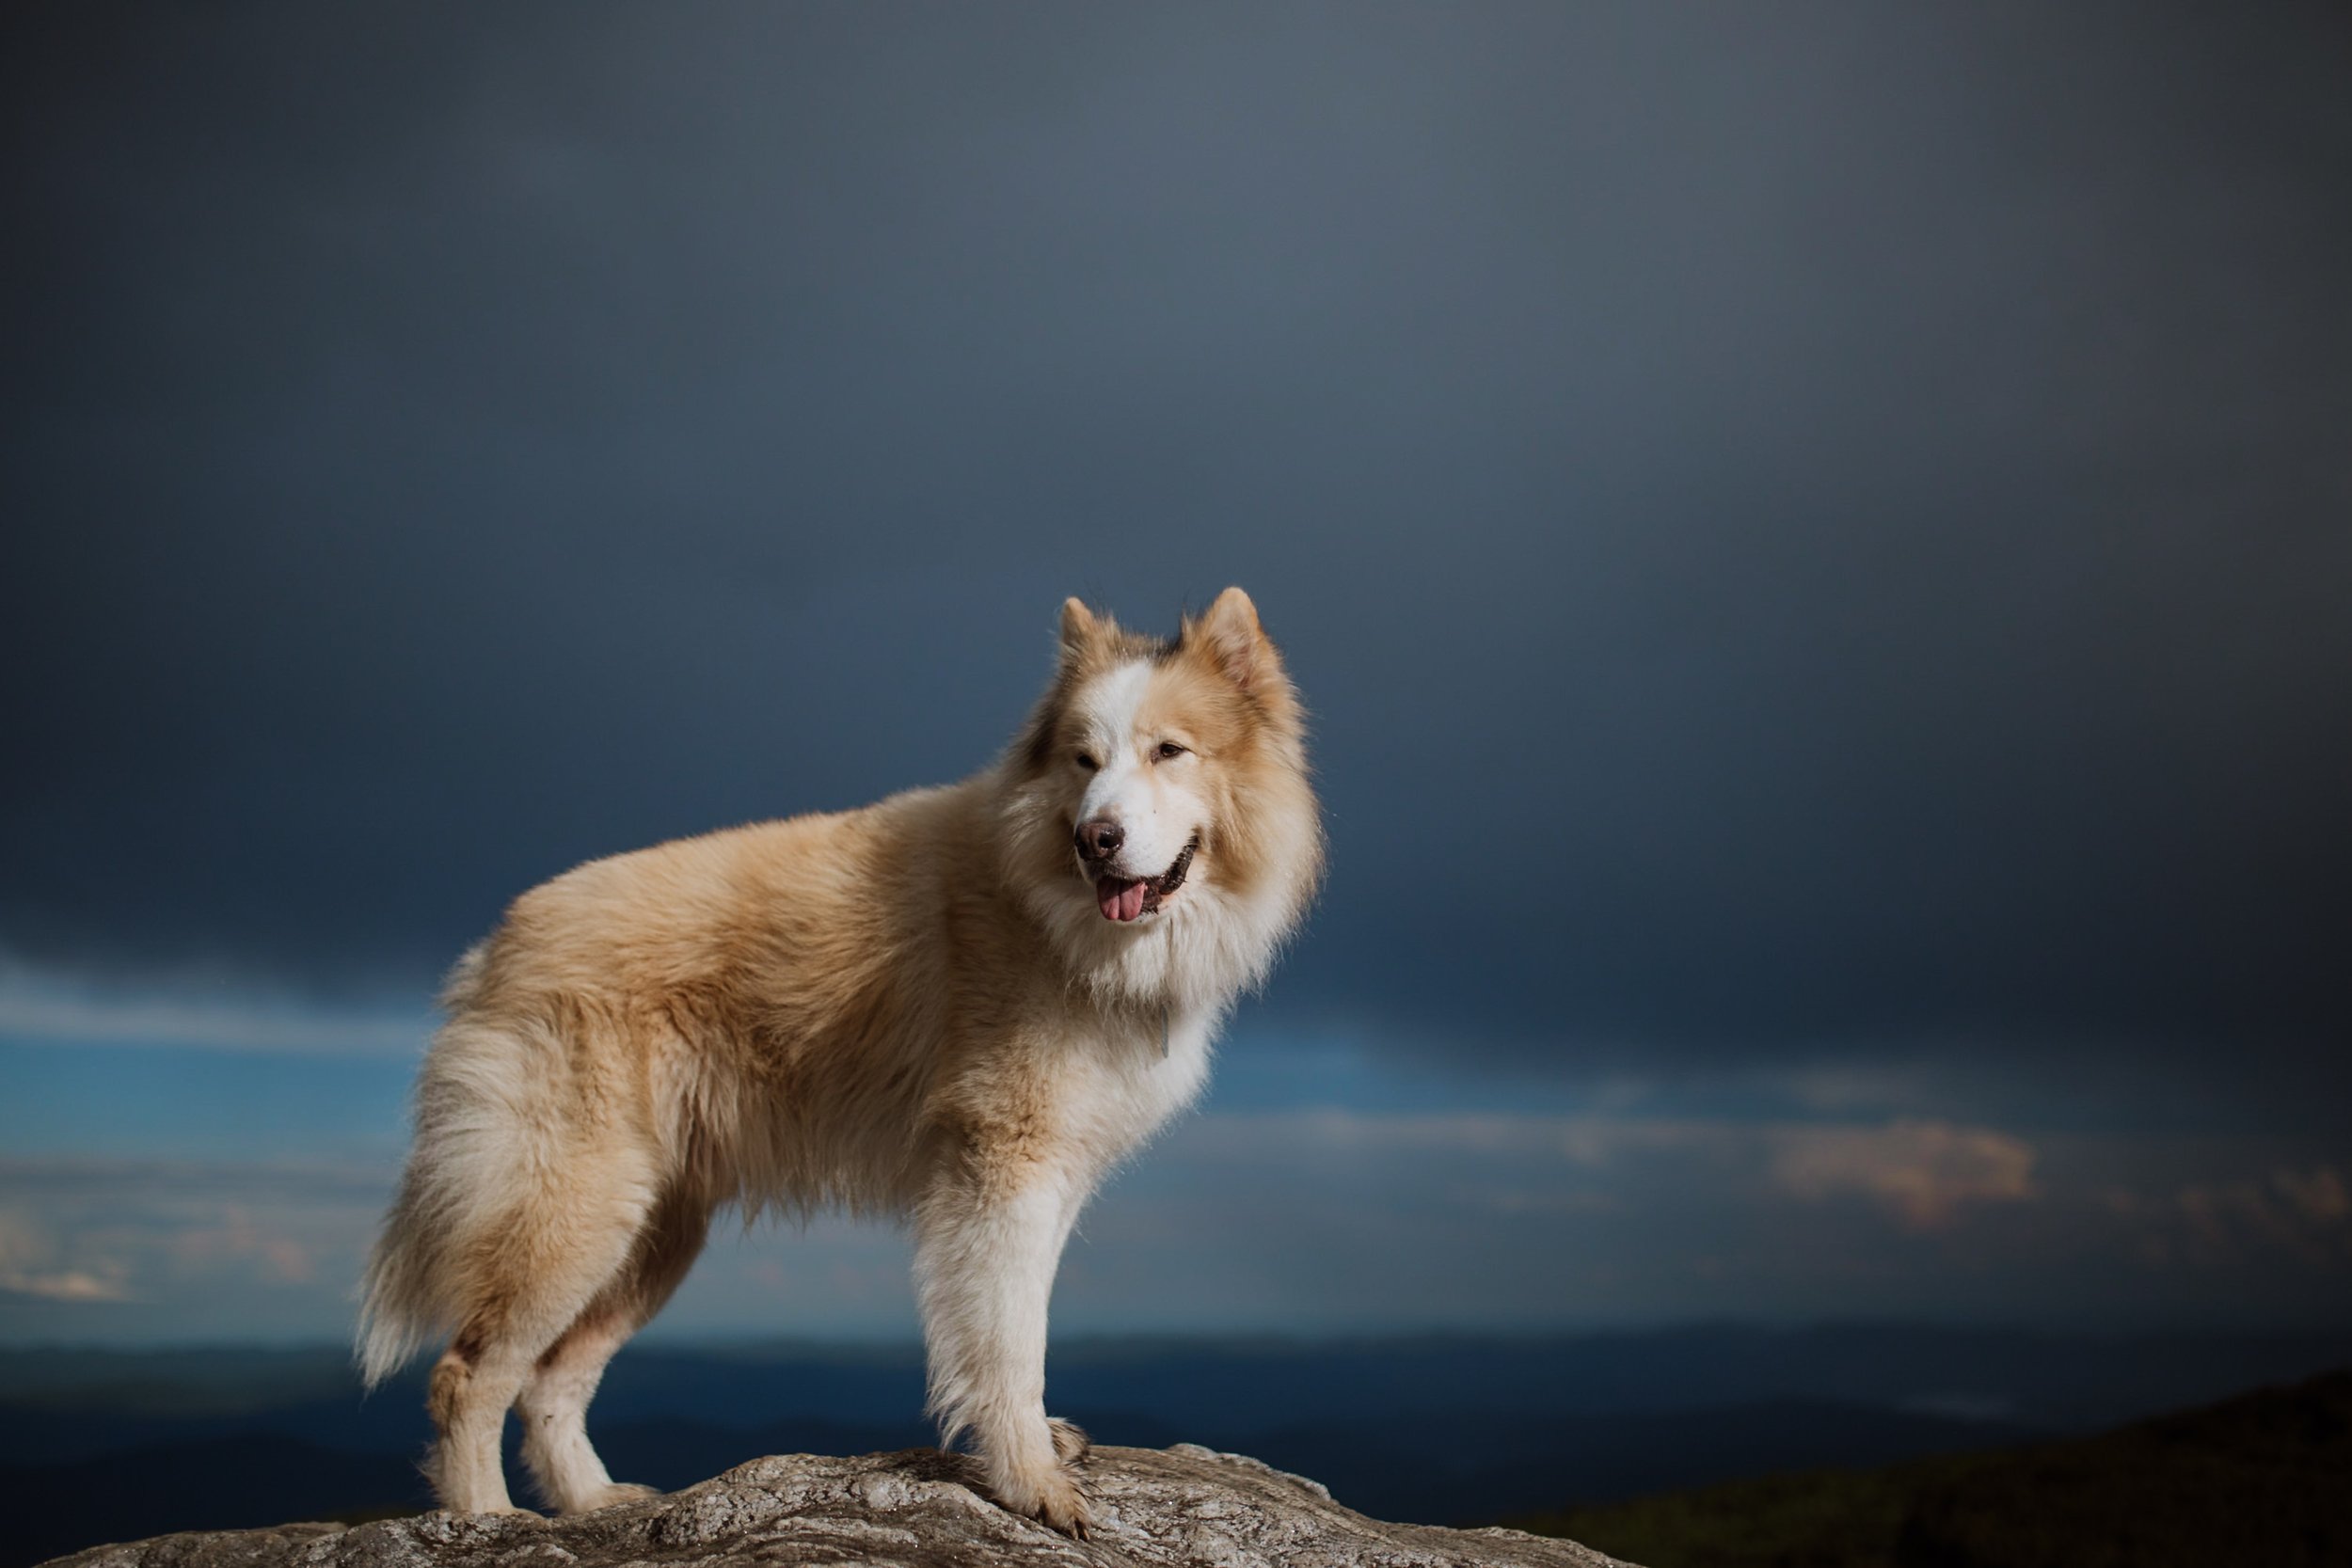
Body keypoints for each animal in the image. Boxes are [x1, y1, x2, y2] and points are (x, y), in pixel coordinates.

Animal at [359, 587, 1336, 1532]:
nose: (1095, 838)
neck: (1050, 914)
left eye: (1170, 751)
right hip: (574, 1217)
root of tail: (494, 949)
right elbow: (1009, 1338)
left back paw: (593, 1501)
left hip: (648, 1240)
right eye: (1084, 762)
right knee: (468, 1375)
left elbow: (1020, 1322)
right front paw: (1030, 1481)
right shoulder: (1002, 1169)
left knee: (551, 1380)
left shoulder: (1050, 1177)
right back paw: (485, 1518)